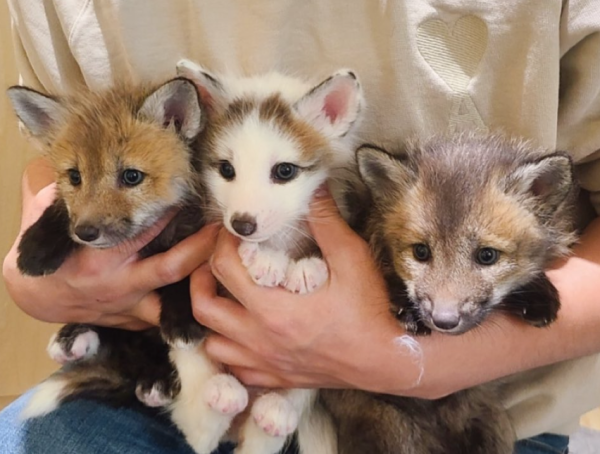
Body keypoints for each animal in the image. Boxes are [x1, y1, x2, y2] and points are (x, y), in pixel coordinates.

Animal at [319, 134, 578, 454]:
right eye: (420, 252)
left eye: (487, 256)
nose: (443, 320)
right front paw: (408, 308)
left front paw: (539, 295)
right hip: (389, 427)